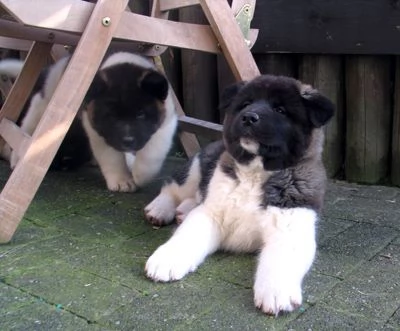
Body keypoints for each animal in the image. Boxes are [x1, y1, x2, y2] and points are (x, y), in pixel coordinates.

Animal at [0, 52, 177, 192]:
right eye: (111, 116)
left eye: (141, 114)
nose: (127, 141)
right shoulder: (98, 131)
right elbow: (111, 157)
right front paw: (121, 180)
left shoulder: (166, 122)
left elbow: (153, 151)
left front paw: (141, 174)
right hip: (42, 105)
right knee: (27, 127)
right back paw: (16, 157)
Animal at [144, 74, 334, 316]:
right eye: (245, 104)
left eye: (280, 110)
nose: (249, 117)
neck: (256, 172)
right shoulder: (211, 214)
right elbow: (187, 235)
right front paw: (167, 259)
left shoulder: (290, 224)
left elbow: (282, 257)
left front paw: (276, 292)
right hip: (196, 168)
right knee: (173, 187)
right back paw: (160, 209)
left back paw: (182, 210)